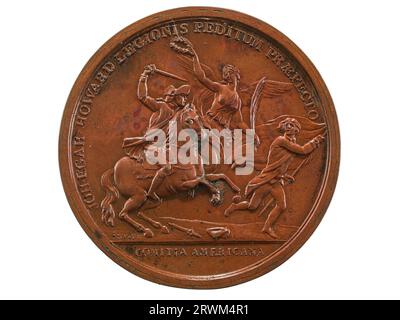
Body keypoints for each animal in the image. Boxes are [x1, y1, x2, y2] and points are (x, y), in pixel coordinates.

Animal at [99, 104, 239, 238]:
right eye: (189, 120)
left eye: (198, 118)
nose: (203, 135)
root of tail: (114, 168)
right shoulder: (180, 185)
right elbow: (200, 181)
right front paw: (215, 193)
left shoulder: (203, 174)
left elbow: (219, 175)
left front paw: (233, 191)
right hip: (139, 195)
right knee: (123, 214)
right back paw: (145, 229)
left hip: (150, 200)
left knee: (139, 212)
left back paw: (160, 226)